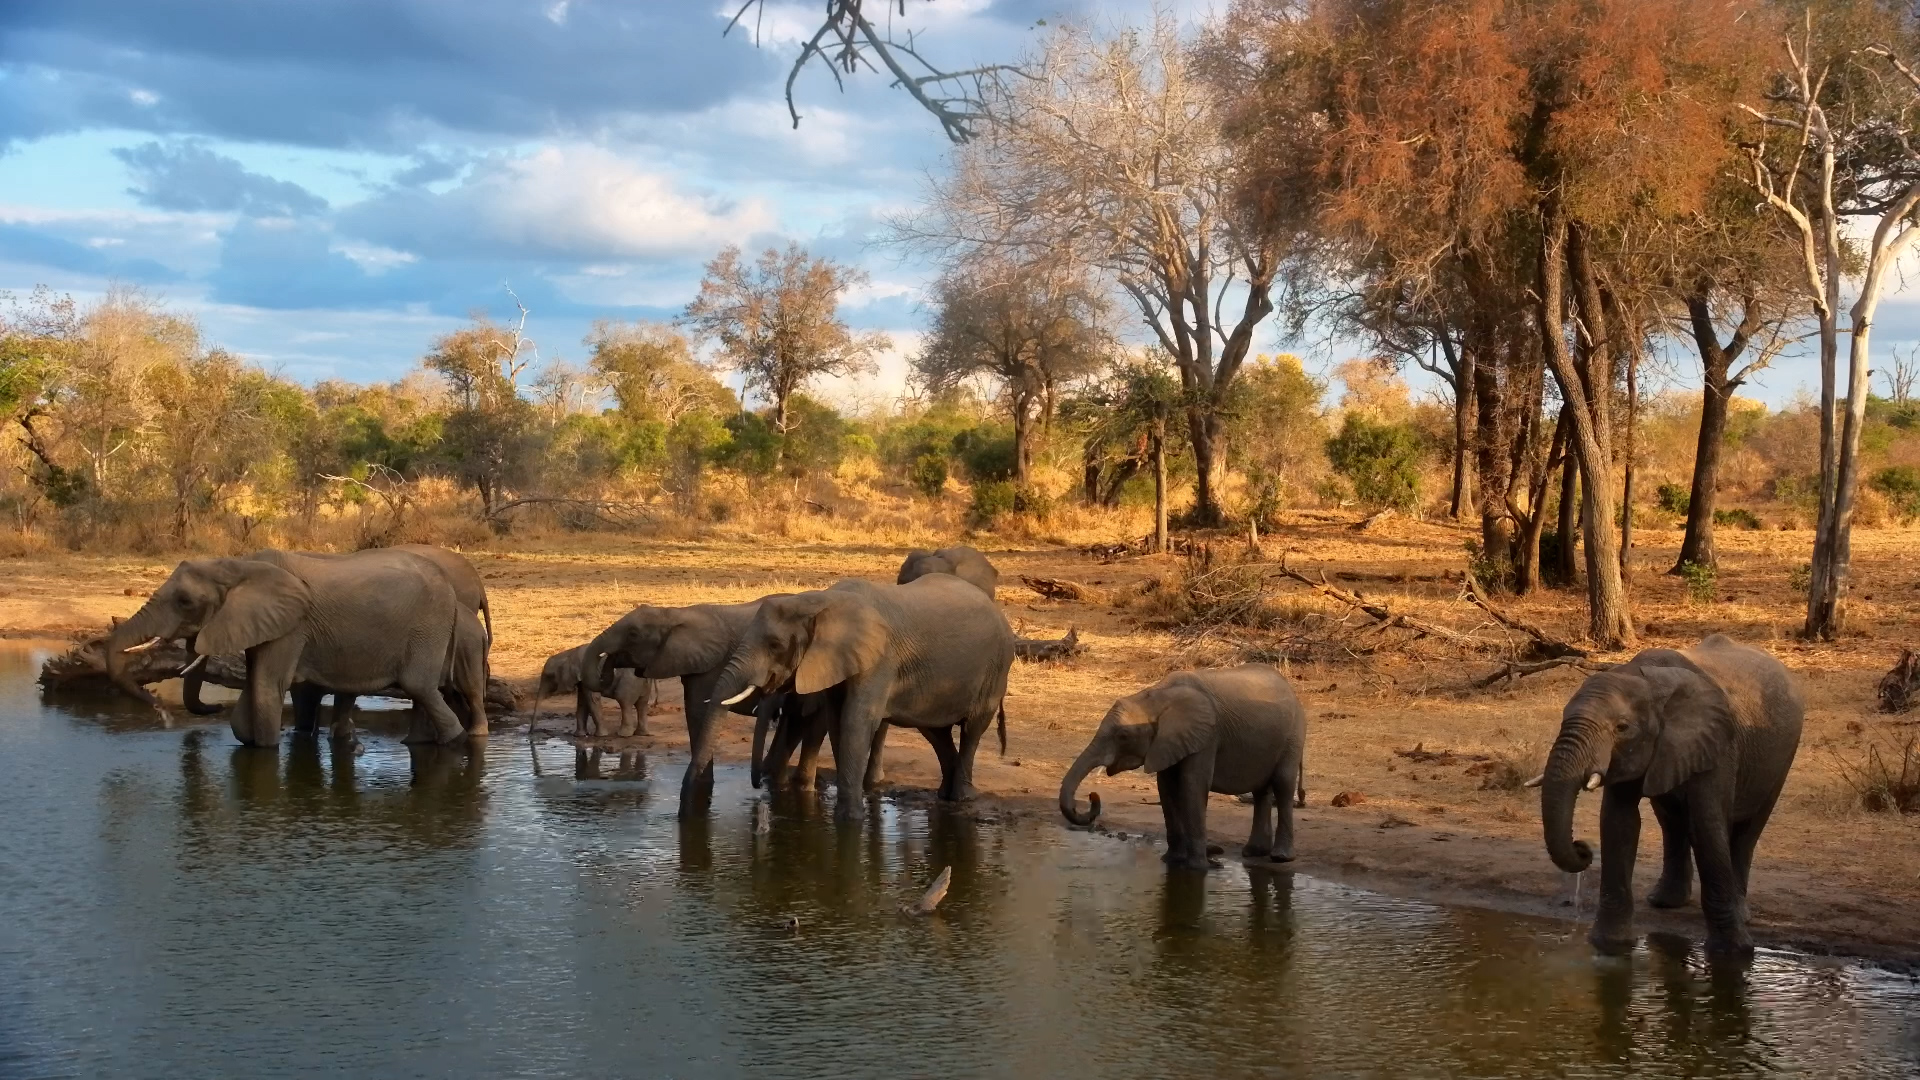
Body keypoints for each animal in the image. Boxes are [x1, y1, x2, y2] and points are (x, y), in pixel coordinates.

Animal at [107, 550, 480, 747]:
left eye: (185, 602)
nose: (163, 712)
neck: (240, 565)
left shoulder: (291, 626)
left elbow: (266, 687)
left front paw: (266, 748)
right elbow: (254, 691)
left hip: (428, 626)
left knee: (420, 687)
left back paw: (457, 741)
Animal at [704, 574, 1015, 818]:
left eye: (775, 645)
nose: (757, 786)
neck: (821, 601)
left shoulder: (879, 659)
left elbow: (856, 720)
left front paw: (851, 818)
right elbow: (837, 721)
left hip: (996, 667)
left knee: (973, 728)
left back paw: (962, 798)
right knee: (936, 731)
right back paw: (945, 796)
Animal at [1059, 665, 1308, 871]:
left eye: (1123, 736)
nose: (1092, 795)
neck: (1156, 697)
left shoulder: (1205, 737)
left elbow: (1192, 786)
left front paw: (1198, 869)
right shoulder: (1168, 742)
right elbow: (1167, 789)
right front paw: (1172, 861)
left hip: (1294, 735)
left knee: (1283, 785)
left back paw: (1280, 857)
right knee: (1261, 791)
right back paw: (1253, 853)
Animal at [1533, 633, 1803, 955]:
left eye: (1622, 727)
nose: (1582, 847)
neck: (1649, 683)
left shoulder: (1716, 744)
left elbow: (1707, 824)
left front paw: (1734, 953)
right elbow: (1619, 822)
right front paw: (1611, 945)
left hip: (1784, 754)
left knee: (1748, 830)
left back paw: (1739, 913)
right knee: (1672, 822)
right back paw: (1664, 902)